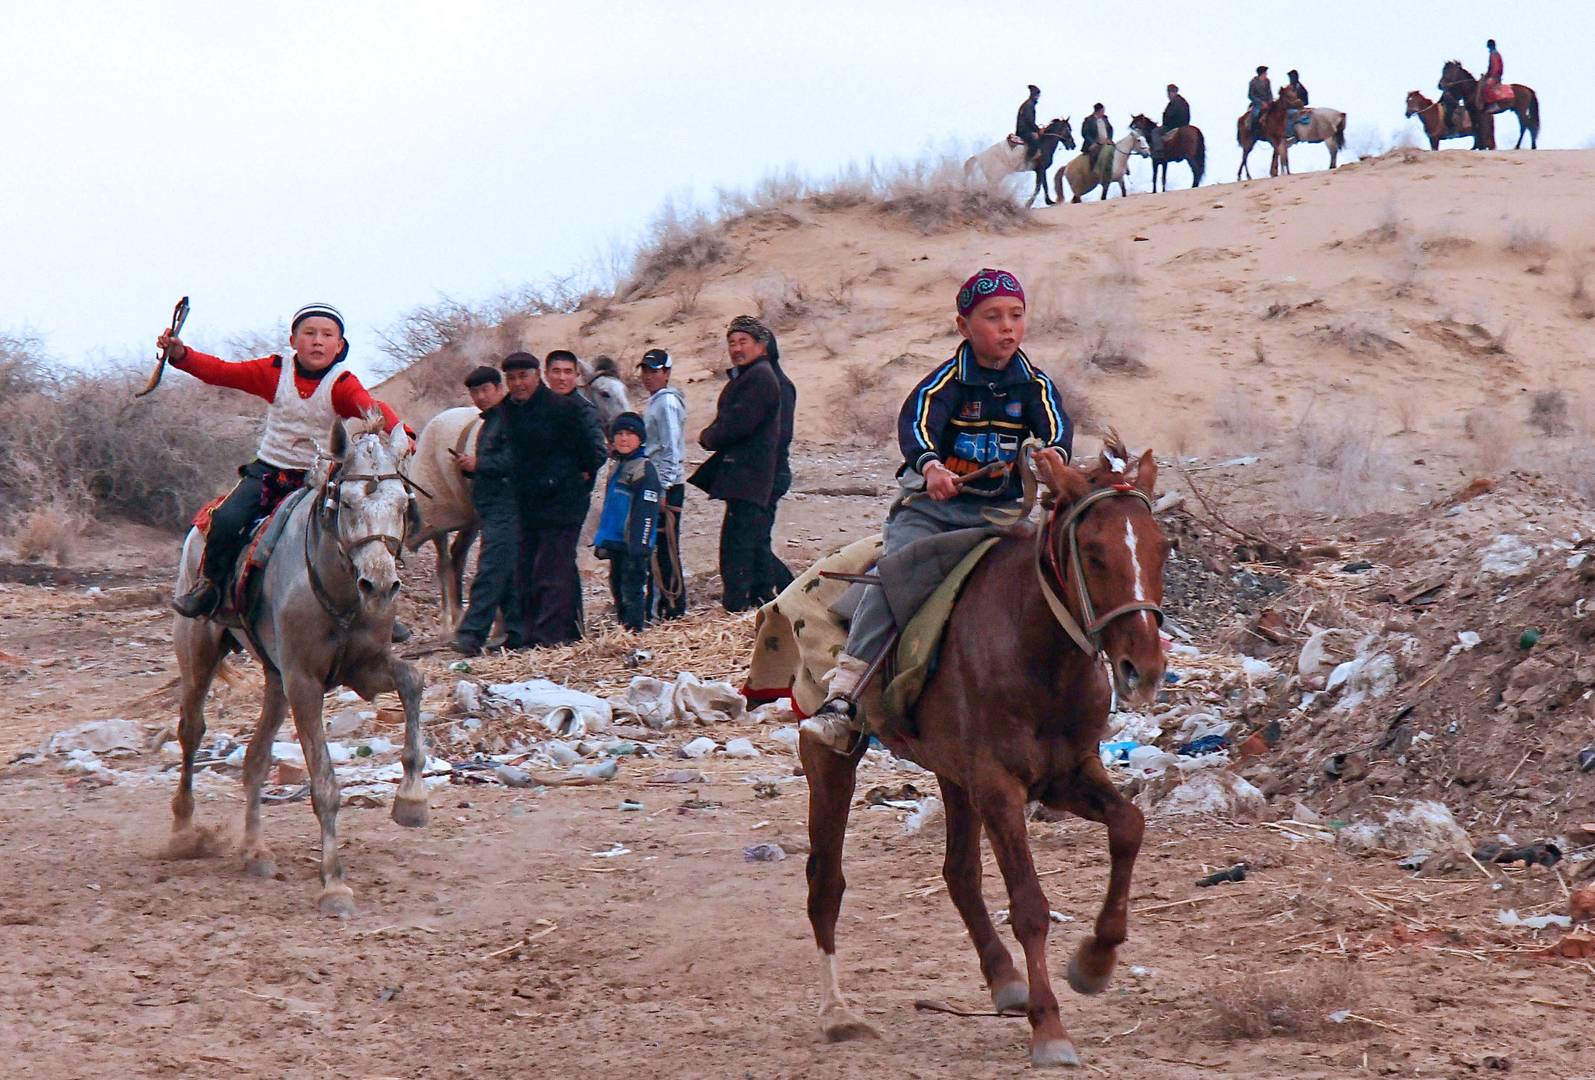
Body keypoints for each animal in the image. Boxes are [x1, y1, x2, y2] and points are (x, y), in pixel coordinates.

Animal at [171, 421, 427, 918]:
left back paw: (255, 850)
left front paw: (411, 801)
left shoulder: (364, 669)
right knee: (191, 730)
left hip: (275, 679)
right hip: (199, 651)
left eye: (403, 504)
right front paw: (334, 884)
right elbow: (324, 783)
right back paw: (185, 829)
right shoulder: (305, 683)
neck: (339, 588)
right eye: (346, 503)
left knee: (255, 758)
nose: (379, 585)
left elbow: (413, 682)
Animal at [803, 437, 1167, 1059]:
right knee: (826, 881)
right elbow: (1029, 905)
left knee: (959, 873)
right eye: (1093, 552)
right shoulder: (999, 787)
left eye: (1162, 547)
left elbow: (1129, 826)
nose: (1142, 668)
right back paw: (836, 1013)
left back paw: (1004, 978)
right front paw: (1050, 1027)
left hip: (954, 774)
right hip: (832, 760)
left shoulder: (1066, 774)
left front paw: (1094, 963)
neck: (1036, 652)